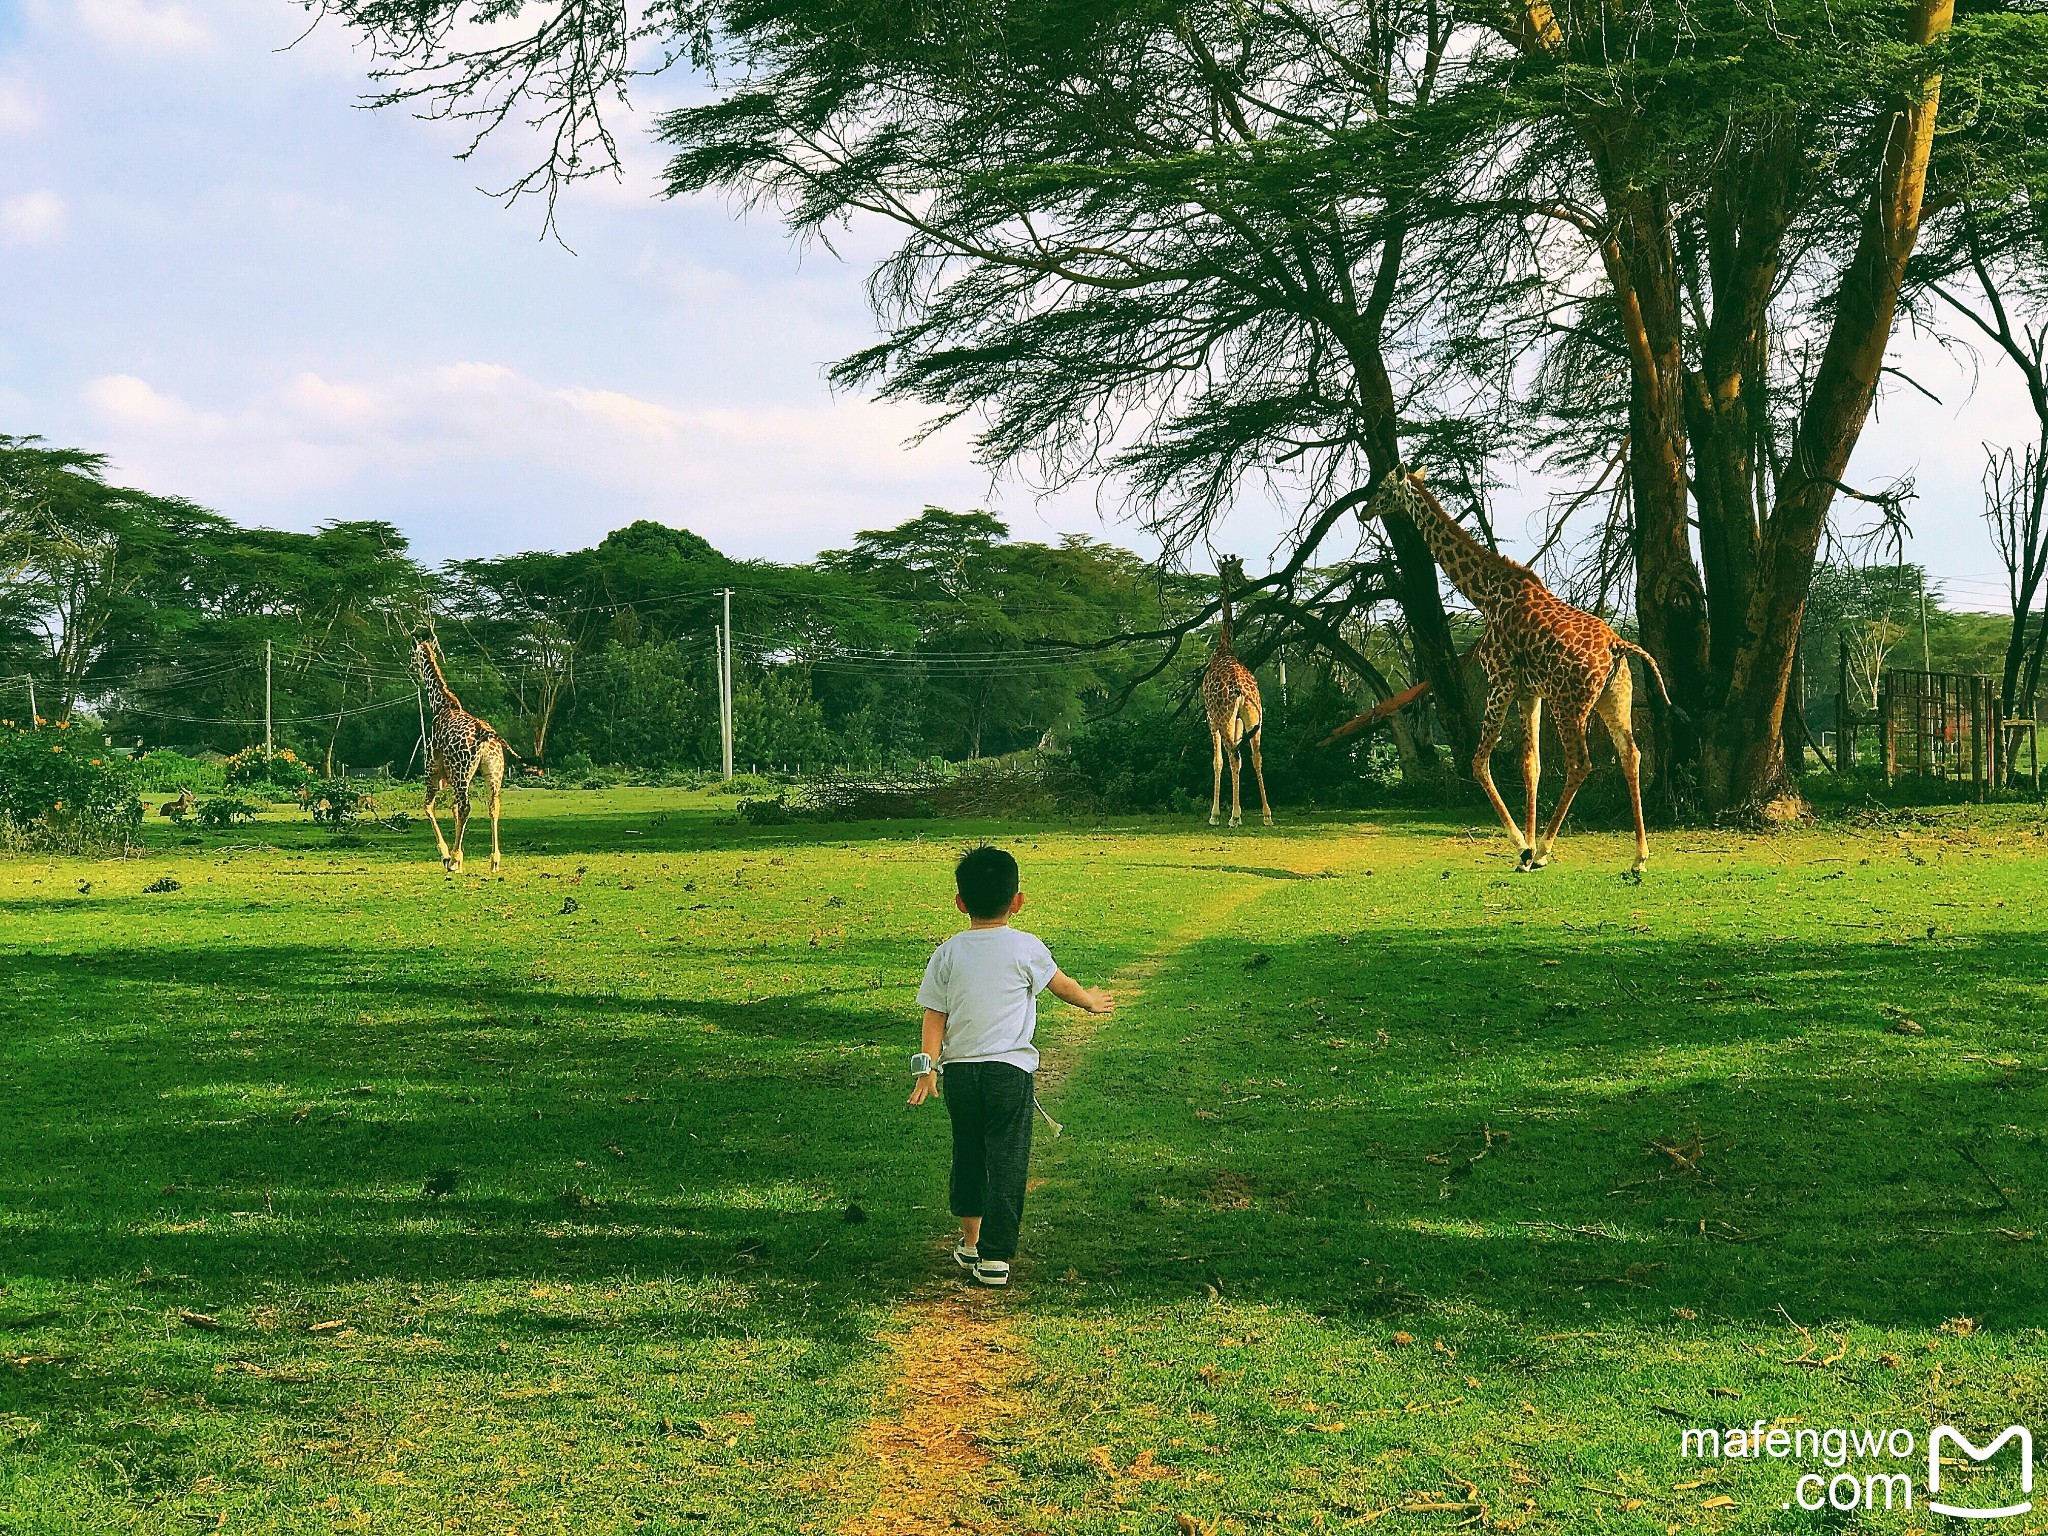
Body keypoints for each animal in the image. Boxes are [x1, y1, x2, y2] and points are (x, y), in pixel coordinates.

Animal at [411, 638, 512, 876]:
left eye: (413, 655)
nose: (410, 669)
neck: (440, 705)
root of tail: (486, 734)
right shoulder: (451, 776)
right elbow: (454, 810)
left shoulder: (434, 771)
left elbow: (429, 807)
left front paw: (447, 856)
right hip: (492, 773)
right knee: (493, 806)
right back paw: (494, 861)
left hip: (461, 771)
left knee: (465, 806)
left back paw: (454, 859)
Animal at [1196, 561, 1269, 831]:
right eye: (1236, 570)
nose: (1246, 583)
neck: (1224, 647)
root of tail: (1241, 691)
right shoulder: (1238, 720)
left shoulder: (1211, 719)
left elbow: (1217, 761)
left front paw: (1214, 814)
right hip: (1254, 718)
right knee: (1256, 756)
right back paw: (1267, 814)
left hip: (1225, 718)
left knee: (1234, 757)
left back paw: (1234, 817)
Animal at [1359, 468, 1662, 876]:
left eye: (1381, 487)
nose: (1364, 511)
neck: (1486, 594)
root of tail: (1618, 647)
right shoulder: (1529, 691)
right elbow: (1530, 766)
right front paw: (1526, 851)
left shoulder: (1499, 681)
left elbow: (1478, 762)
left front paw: (1524, 847)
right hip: (1615, 699)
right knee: (1631, 755)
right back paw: (1639, 857)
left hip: (1569, 703)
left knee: (1579, 763)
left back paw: (1547, 848)